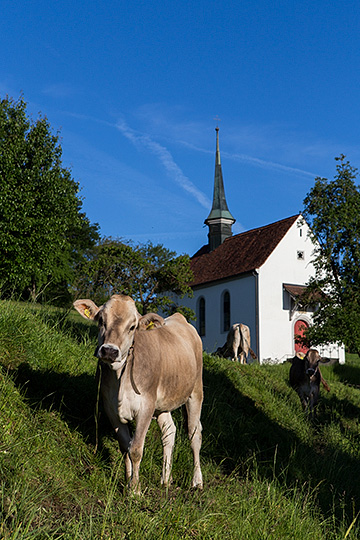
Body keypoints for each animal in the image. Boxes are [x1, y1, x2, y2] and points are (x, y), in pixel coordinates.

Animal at [74, 296, 202, 494]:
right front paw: (128, 481)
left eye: (132, 327)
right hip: (162, 404)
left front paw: (135, 490)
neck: (120, 379)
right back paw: (166, 479)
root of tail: (180, 318)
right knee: (169, 431)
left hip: (195, 392)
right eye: (101, 320)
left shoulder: (145, 407)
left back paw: (197, 481)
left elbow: (135, 449)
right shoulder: (111, 408)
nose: (109, 350)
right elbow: (124, 446)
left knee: (194, 435)